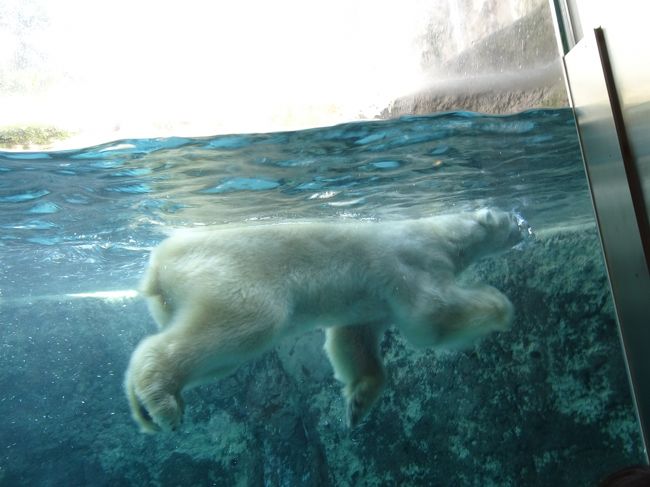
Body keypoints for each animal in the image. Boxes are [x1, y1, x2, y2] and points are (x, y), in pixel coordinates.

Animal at [124, 208, 524, 432]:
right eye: (508, 215)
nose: (525, 223)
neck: (447, 233)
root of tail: (159, 264)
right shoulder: (415, 261)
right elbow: (431, 315)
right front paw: (500, 305)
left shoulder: (371, 305)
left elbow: (351, 338)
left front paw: (358, 402)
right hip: (233, 277)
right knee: (249, 324)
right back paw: (162, 401)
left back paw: (145, 407)